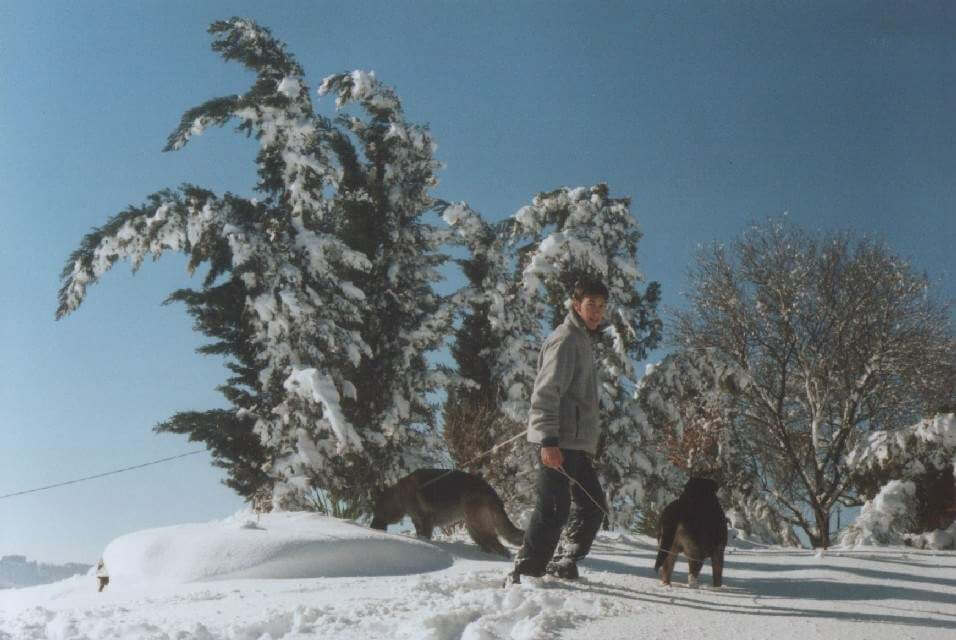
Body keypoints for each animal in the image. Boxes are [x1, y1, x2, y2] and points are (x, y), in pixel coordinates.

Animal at [372, 468, 524, 556]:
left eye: (376, 512)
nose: (372, 527)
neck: (399, 496)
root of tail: (490, 490)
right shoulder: (418, 523)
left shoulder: (426, 521)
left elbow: (425, 537)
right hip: (474, 529)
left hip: (478, 527)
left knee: (499, 547)